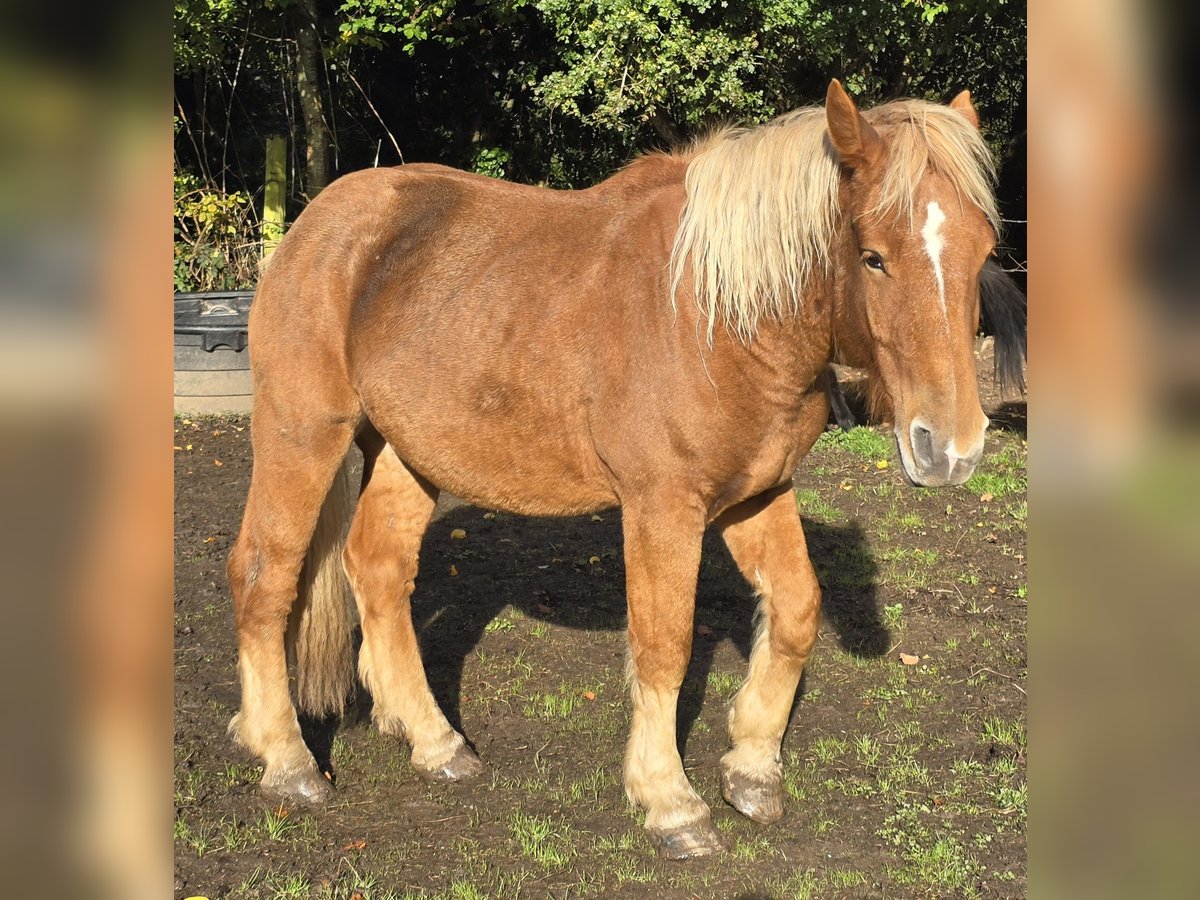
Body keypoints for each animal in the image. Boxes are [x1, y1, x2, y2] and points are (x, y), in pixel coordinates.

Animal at [226, 82, 1012, 859]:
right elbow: (664, 645)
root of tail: (316, 225)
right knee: (265, 574)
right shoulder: (663, 506)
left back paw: (434, 741)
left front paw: (753, 767)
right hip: (303, 435)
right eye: (874, 256)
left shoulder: (756, 494)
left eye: (983, 251)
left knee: (378, 567)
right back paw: (287, 760)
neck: (715, 317)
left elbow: (796, 611)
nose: (951, 450)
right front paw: (670, 801)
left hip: (407, 451)